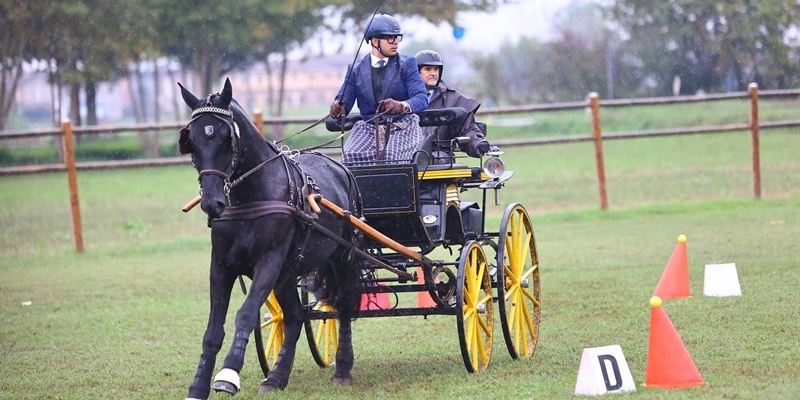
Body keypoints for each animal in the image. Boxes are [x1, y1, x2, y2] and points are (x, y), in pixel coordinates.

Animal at [180, 79, 362, 400]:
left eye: (226, 138)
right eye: (191, 140)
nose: (213, 203)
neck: (251, 196)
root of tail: (340, 167)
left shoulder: (269, 262)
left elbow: (245, 314)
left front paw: (228, 375)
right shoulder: (221, 267)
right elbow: (213, 330)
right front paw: (198, 385)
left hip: (341, 258)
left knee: (343, 306)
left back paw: (342, 368)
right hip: (289, 274)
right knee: (295, 316)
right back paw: (276, 377)